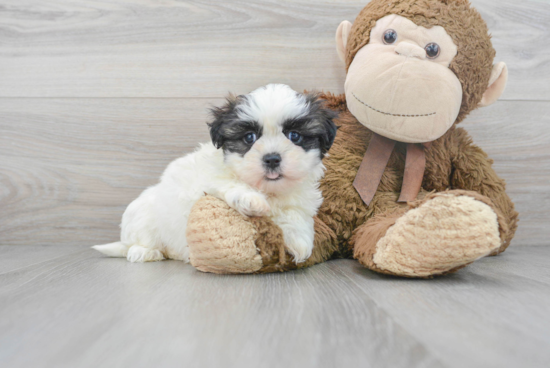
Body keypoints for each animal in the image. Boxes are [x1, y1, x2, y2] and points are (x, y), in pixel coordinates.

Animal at [92, 84, 338, 264]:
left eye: (294, 135)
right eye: (249, 137)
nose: (272, 159)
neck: (269, 189)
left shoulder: (298, 198)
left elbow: (295, 214)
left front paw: (299, 240)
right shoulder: (208, 179)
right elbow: (230, 183)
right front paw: (252, 200)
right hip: (142, 217)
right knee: (137, 241)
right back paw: (144, 252)